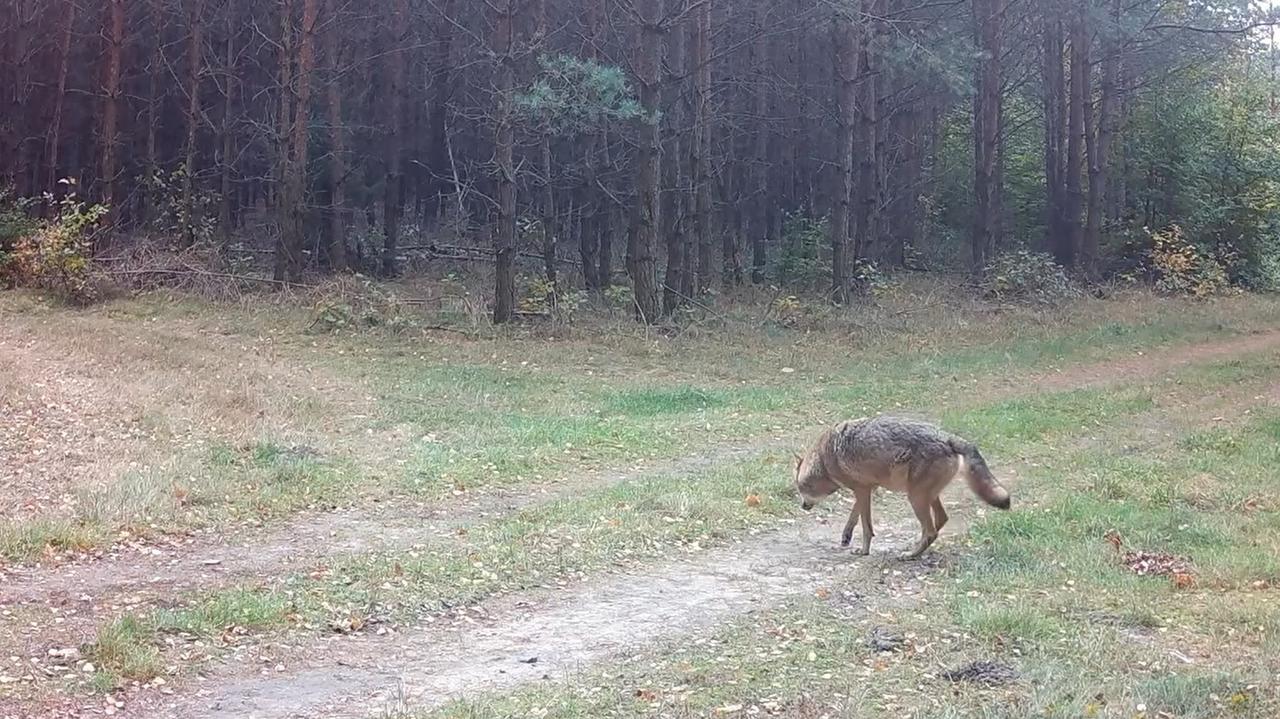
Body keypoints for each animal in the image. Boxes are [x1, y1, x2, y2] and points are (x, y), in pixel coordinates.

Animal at [788, 414, 1008, 560]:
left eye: (800, 488)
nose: (803, 506)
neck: (824, 458)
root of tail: (947, 436)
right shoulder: (867, 490)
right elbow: (854, 517)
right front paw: (846, 537)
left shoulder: (862, 490)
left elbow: (866, 527)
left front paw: (864, 551)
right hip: (925, 496)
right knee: (940, 521)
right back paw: (918, 546)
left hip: (915, 498)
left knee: (931, 530)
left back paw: (910, 554)